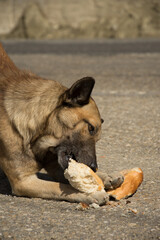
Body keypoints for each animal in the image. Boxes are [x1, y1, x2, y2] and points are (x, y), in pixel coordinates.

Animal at [0, 43, 123, 204]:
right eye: (90, 128)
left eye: (98, 139)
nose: (94, 167)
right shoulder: (24, 181)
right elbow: (65, 187)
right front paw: (91, 193)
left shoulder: (57, 166)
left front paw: (105, 176)